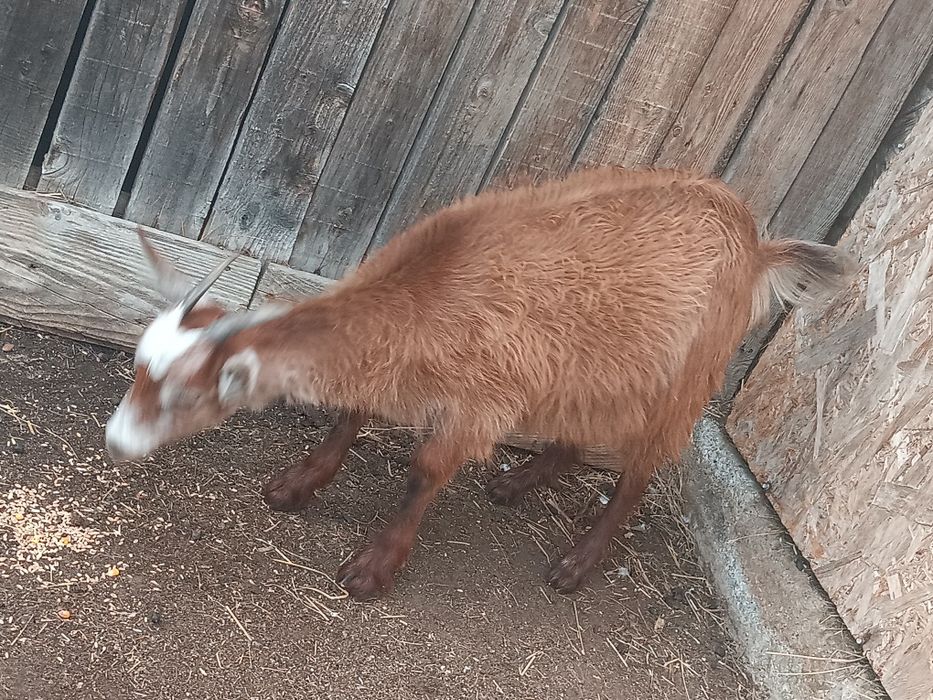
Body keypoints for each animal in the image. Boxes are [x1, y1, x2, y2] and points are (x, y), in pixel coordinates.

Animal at [105, 166, 850, 599]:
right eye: (137, 369)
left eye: (182, 395)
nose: (115, 441)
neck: (426, 292)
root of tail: (758, 246)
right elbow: (350, 414)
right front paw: (297, 485)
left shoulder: (481, 397)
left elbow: (425, 471)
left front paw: (373, 568)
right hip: (594, 366)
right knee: (577, 436)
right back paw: (517, 483)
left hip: (683, 377)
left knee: (642, 468)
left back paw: (576, 564)